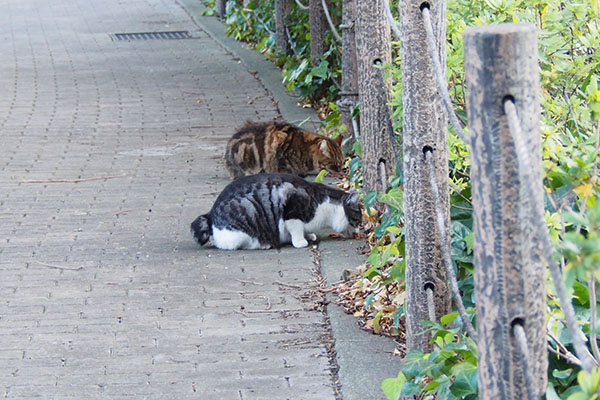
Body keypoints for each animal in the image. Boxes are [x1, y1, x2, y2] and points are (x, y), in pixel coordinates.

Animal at [191, 173, 360, 250]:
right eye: (358, 220)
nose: (360, 231)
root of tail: (209, 215)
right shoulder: (292, 207)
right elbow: (295, 229)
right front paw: (300, 241)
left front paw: (309, 235)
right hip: (244, 221)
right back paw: (265, 244)